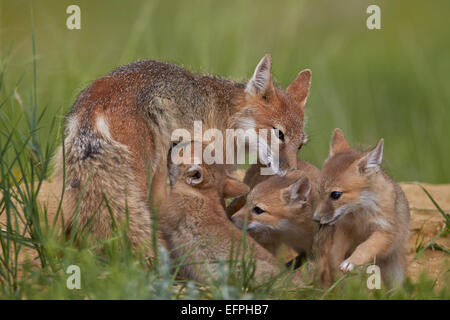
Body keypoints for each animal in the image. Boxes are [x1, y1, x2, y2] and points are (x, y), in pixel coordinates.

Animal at [314, 129, 410, 286]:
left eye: (335, 195)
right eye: (318, 192)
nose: (316, 219)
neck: (360, 216)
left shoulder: (385, 232)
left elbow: (365, 246)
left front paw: (351, 262)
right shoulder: (345, 228)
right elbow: (334, 253)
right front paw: (337, 267)